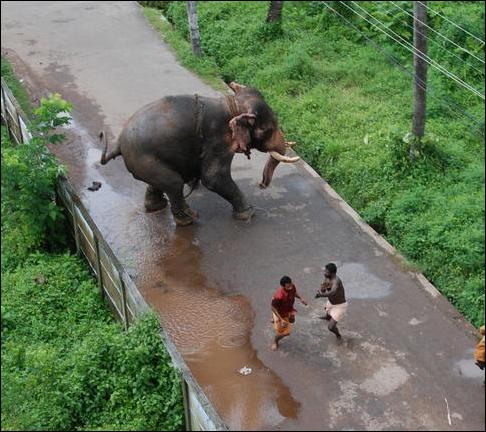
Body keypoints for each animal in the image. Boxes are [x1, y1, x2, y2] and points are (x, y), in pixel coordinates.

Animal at [99, 80, 300, 226]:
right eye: (267, 130)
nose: (262, 185)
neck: (232, 104)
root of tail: (118, 143)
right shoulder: (218, 140)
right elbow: (213, 178)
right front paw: (249, 214)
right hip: (144, 160)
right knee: (173, 183)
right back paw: (189, 220)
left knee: (160, 183)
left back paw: (157, 207)